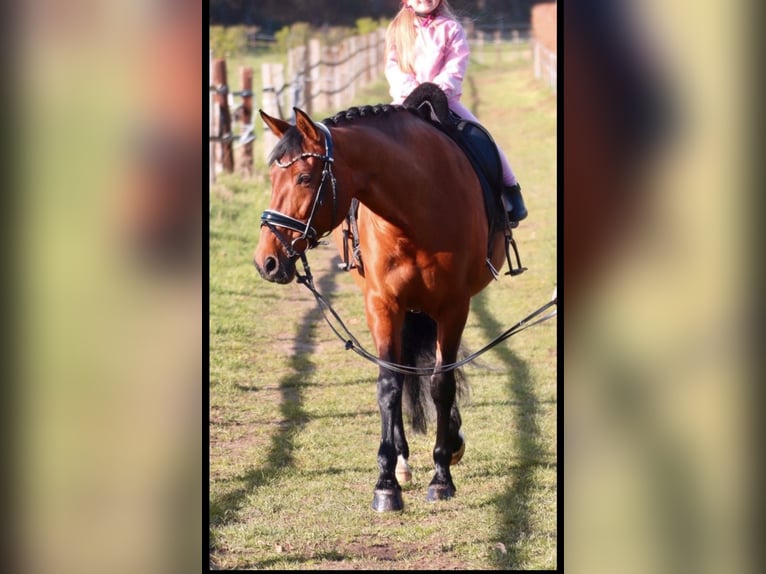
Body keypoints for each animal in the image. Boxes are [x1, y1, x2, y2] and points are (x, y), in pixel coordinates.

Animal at [253, 104, 508, 512]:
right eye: (273, 177)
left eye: (305, 177)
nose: (267, 261)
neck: (416, 207)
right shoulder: (383, 305)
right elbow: (389, 384)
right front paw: (386, 483)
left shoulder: (454, 307)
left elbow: (442, 383)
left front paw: (441, 476)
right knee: (402, 372)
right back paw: (403, 460)